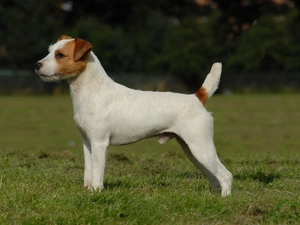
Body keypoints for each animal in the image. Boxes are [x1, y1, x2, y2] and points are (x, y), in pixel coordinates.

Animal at [34, 34, 232, 195]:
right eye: (50, 51)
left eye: (60, 55)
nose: (37, 65)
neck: (92, 90)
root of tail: (197, 98)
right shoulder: (87, 143)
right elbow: (88, 171)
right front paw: (88, 191)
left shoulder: (99, 144)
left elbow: (97, 173)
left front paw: (96, 192)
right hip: (192, 151)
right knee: (214, 177)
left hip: (201, 148)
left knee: (226, 175)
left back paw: (224, 199)